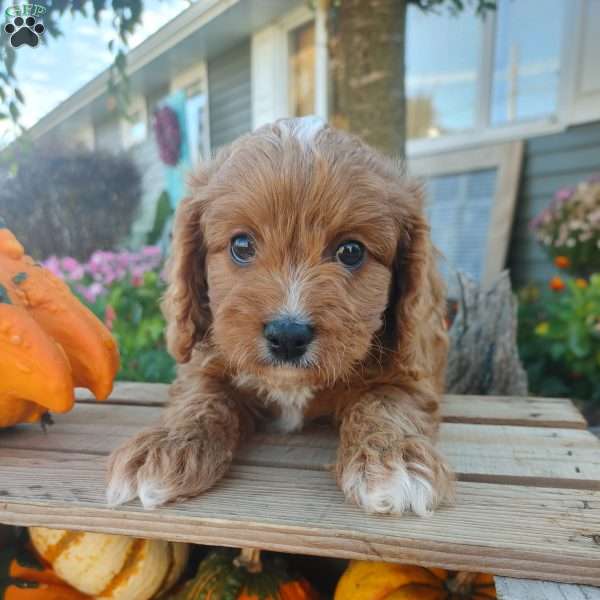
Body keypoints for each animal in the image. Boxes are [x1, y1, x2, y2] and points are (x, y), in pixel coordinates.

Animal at [109, 117, 454, 516]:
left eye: (351, 251)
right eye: (241, 245)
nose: (288, 336)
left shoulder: (410, 376)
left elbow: (384, 402)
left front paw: (394, 459)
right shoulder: (204, 366)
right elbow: (201, 400)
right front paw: (166, 446)